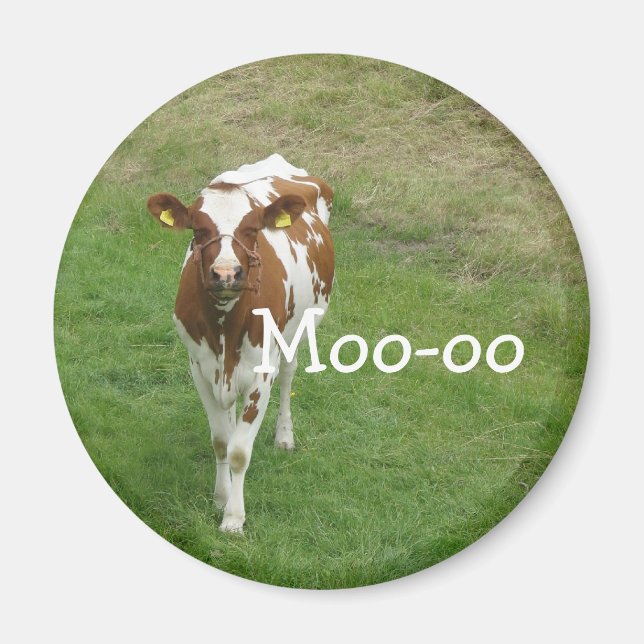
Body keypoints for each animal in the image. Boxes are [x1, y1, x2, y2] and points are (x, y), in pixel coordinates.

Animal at [146, 154, 334, 533]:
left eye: (252, 230)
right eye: (198, 230)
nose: (226, 274)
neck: (225, 326)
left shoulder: (261, 372)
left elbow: (238, 451)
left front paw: (234, 518)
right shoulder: (200, 367)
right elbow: (222, 441)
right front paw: (221, 498)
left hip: (298, 330)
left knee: (289, 375)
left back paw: (284, 437)